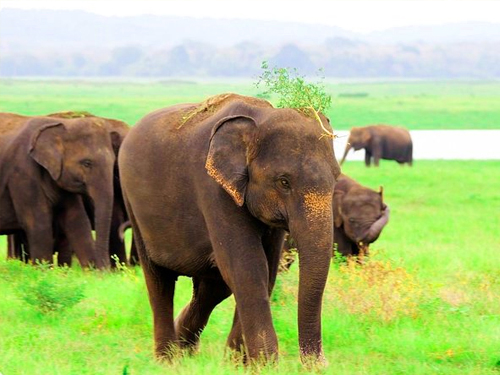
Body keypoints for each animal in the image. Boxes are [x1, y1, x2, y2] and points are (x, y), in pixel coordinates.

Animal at [119, 93, 342, 364]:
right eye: (284, 182)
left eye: (337, 178)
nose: (318, 366)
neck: (259, 118)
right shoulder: (214, 189)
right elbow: (247, 267)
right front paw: (264, 363)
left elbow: (267, 268)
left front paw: (238, 363)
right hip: (133, 204)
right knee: (159, 280)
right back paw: (168, 359)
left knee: (213, 285)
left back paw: (185, 349)